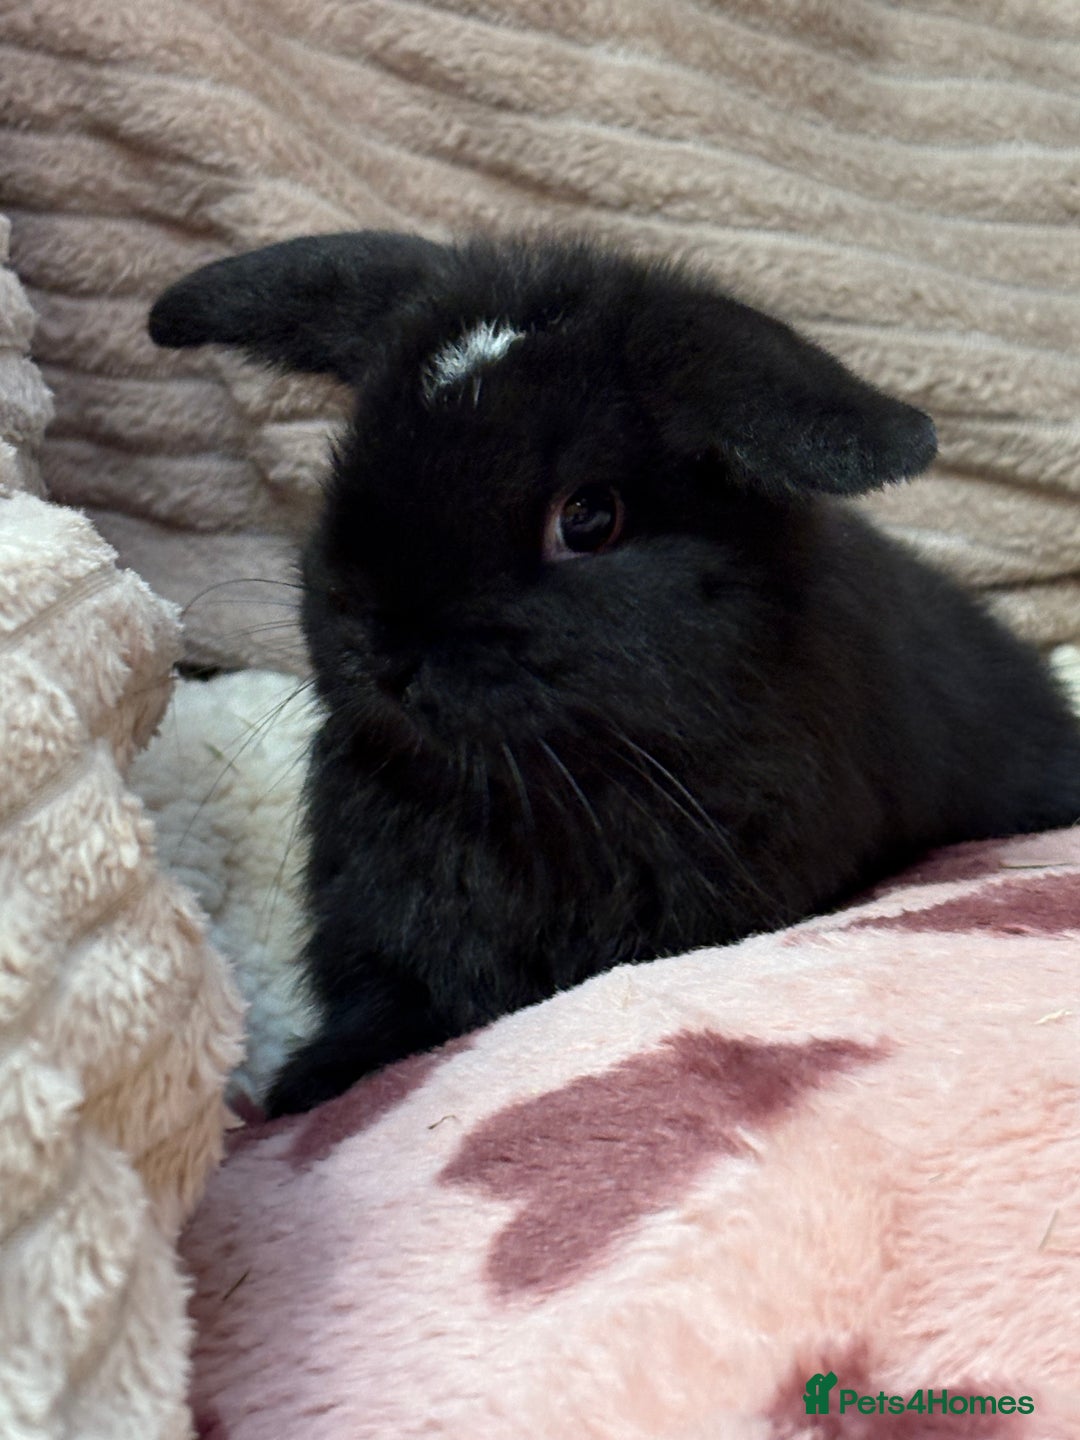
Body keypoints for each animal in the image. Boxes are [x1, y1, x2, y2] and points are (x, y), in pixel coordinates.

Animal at [149, 231, 1080, 1116]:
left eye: (589, 518)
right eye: (354, 454)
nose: (380, 643)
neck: (521, 788)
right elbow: (384, 1008)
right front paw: (306, 1084)